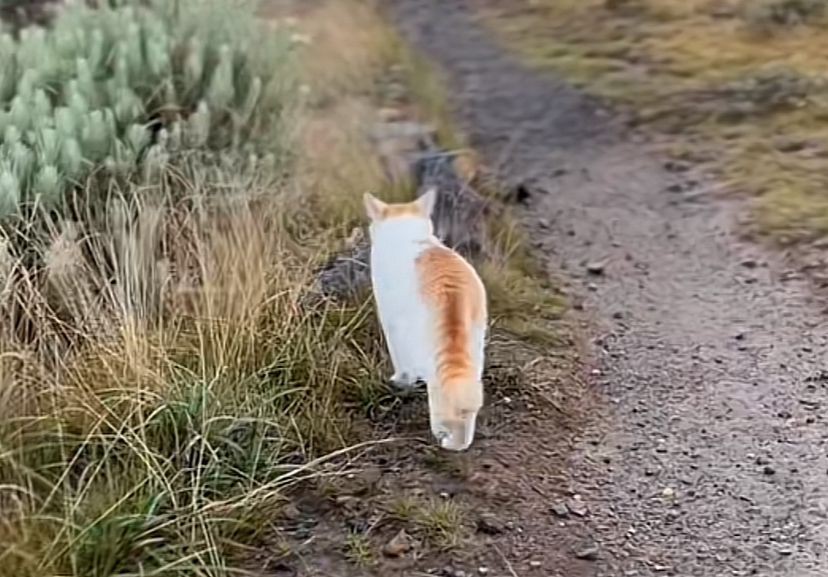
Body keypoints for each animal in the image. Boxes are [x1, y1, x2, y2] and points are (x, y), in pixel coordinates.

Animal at [362, 189, 486, 450]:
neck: (409, 238)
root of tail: (452, 295)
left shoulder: (392, 321)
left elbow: (400, 359)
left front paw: (401, 381)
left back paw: (446, 441)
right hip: (476, 348)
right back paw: (462, 442)